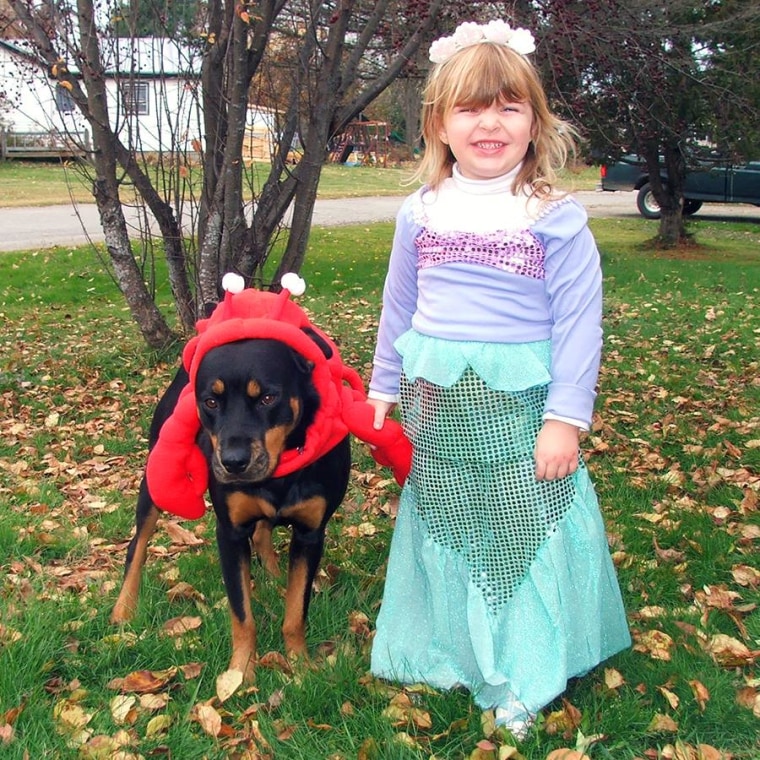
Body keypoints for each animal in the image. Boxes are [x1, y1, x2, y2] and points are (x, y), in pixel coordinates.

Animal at [109, 336, 350, 680]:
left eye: (268, 397)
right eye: (211, 402)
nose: (233, 462)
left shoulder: (311, 533)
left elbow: (295, 611)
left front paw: (300, 666)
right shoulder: (230, 533)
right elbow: (242, 615)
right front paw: (240, 674)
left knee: (262, 533)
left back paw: (275, 576)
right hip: (155, 475)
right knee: (137, 545)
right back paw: (124, 608)